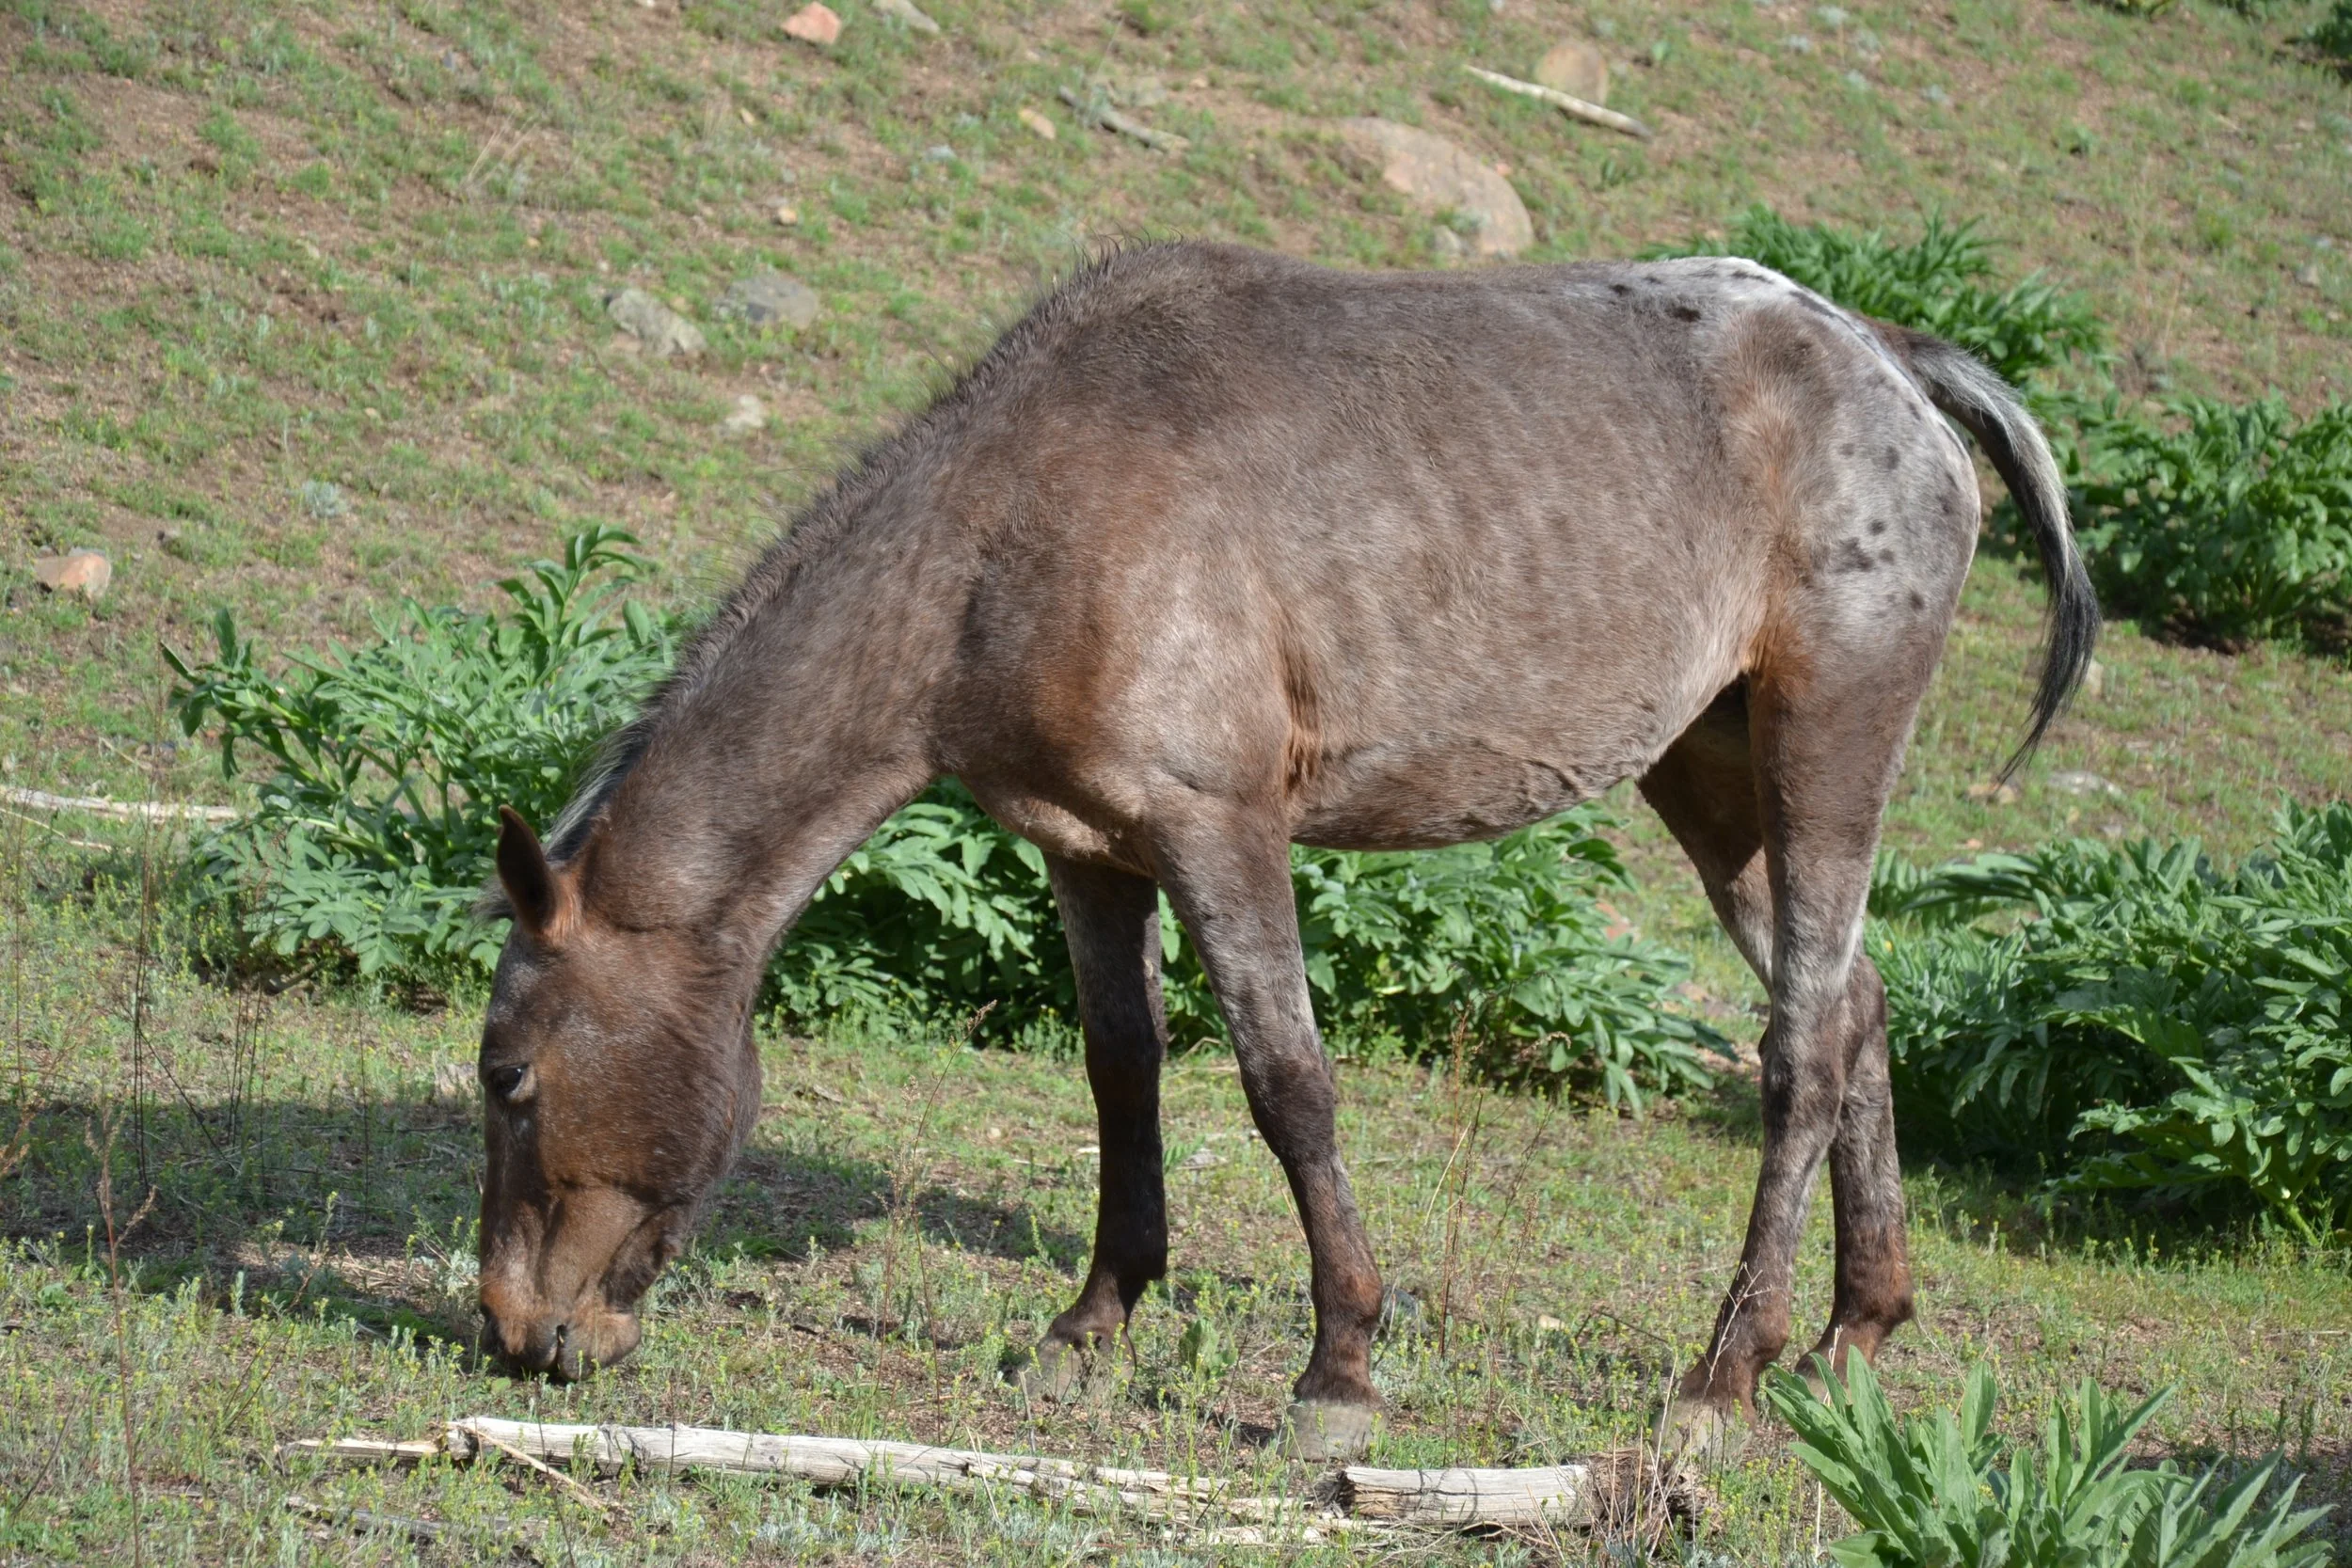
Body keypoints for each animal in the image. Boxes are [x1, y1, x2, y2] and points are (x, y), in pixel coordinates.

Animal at [473, 240, 2095, 1461]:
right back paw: (1848, 1336)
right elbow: (1121, 1069)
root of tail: (1889, 356)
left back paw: (1720, 1376)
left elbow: (1285, 1083)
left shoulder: (1221, 827)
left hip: (1826, 746)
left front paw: (1338, 1374)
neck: (1013, 528)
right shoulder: (1090, 851)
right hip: (1716, 781)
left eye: (509, 1078)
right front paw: (1091, 1326)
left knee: (1803, 1048)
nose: (510, 1329)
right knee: (1859, 1006)